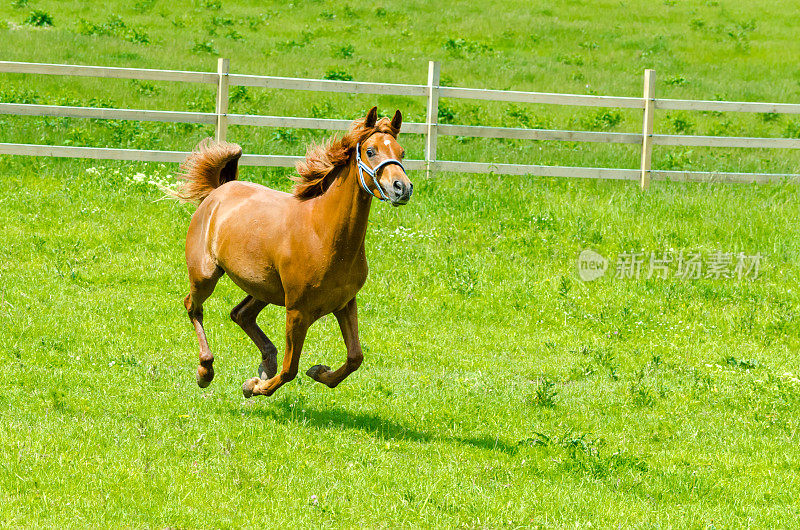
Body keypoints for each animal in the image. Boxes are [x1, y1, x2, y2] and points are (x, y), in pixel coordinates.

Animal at [174, 107, 412, 396]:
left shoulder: (345, 303)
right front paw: (254, 387)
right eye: (370, 151)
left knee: (240, 314)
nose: (402, 188)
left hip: (264, 288)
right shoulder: (298, 311)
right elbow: (290, 369)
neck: (323, 235)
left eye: (401, 152)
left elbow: (355, 357)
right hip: (205, 275)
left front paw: (319, 372)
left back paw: (267, 362)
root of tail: (217, 192)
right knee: (193, 306)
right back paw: (205, 370)